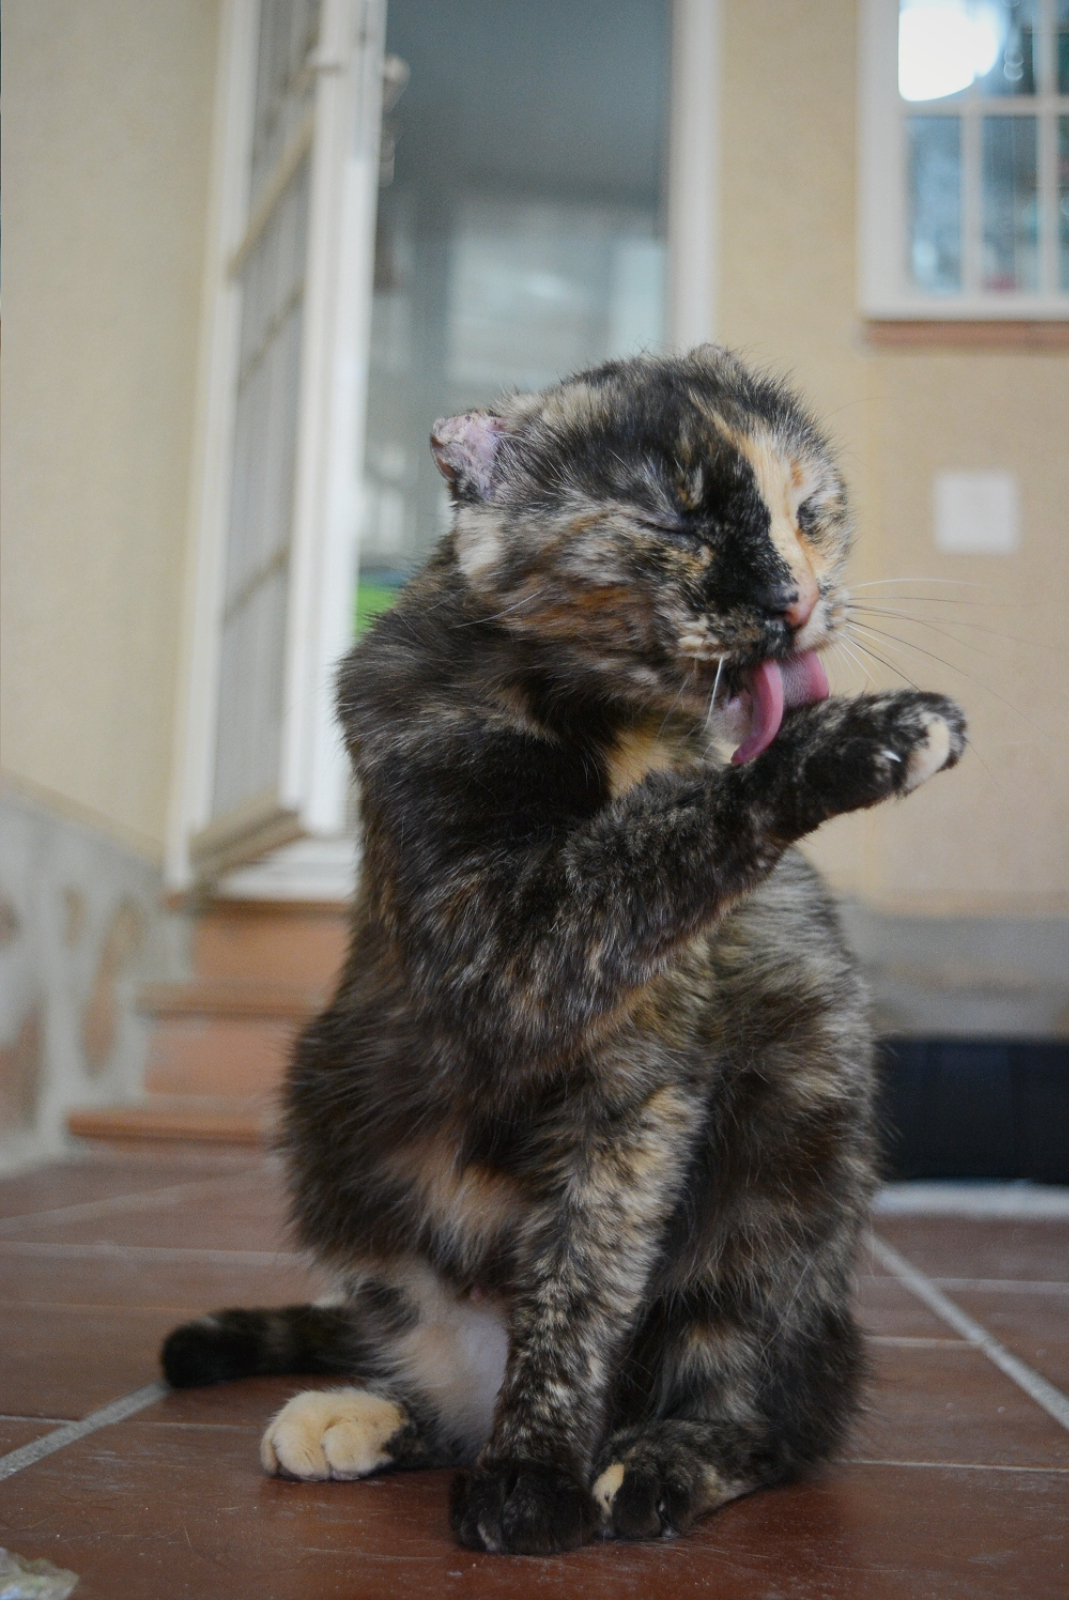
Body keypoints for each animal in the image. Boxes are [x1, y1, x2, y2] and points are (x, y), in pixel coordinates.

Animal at [162, 346, 966, 1554]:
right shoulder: (495, 948)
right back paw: (363, 1413)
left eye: (809, 515)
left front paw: (535, 1474)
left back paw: (651, 1463)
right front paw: (842, 742)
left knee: (775, 1410)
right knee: (440, 1381)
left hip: (799, 1130)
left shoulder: (638, 1083)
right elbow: (656, 836)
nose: (795, 599)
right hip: (325, 1109)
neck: (608, 729)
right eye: (678, 510)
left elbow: (584, 1277)